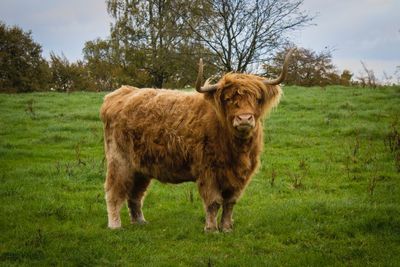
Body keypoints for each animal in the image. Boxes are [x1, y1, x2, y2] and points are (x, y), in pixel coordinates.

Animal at [101, 48, 294, 232]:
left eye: (257, 98)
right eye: (228, 99)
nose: (244, 119)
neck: (236, 148)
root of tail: (121, 93)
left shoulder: (240, 176)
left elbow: (230, 203)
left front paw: (226, 228)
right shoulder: (208, 171)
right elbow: (214, 202)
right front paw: (211, 229)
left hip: (141, 166)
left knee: (135, 195)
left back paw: (140, 221)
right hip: (120, 161)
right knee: (114, 192)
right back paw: (115, 225)